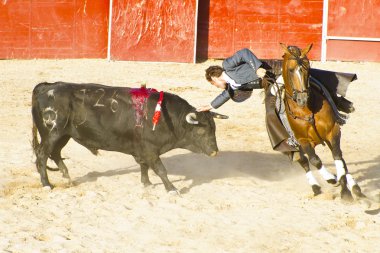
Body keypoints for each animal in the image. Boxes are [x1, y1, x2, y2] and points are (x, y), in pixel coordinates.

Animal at [31, 82, 226, 192]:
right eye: (201, 131)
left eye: (214, 129)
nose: (215, 152)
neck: (165, 117)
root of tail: (46, 87)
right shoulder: (150, 149)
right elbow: (160, 169)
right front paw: (171, 188)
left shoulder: (142, 149)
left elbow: (144, 166)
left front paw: (146, 183)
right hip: (52, 133)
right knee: (42, 155)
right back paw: (47, 184)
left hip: (64, 135)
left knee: (55, 153)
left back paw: (67, 177)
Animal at [280, 43, 366, 202]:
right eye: (290, 70)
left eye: (308, 68)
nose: (302, 98)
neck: (306, 110)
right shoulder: (302, 140)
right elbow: (315, 160)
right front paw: (331, 178)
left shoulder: (333, 131)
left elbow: (338, 157)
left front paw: (345, 191)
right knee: (303, 161)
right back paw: (316, 187)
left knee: (340, 158)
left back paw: (355, 189)